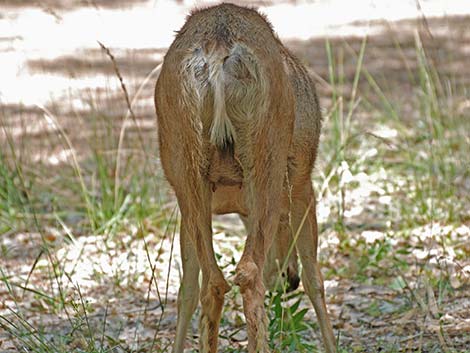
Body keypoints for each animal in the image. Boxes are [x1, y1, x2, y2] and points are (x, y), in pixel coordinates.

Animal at [153, 3, 334, 352]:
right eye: (283, 230)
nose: (288, 280)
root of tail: (219, 45)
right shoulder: (302, 181)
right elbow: (315, 278)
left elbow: (186, 289)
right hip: (269, 160)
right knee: (249, 273)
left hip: (185, 163)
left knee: (212, 280)